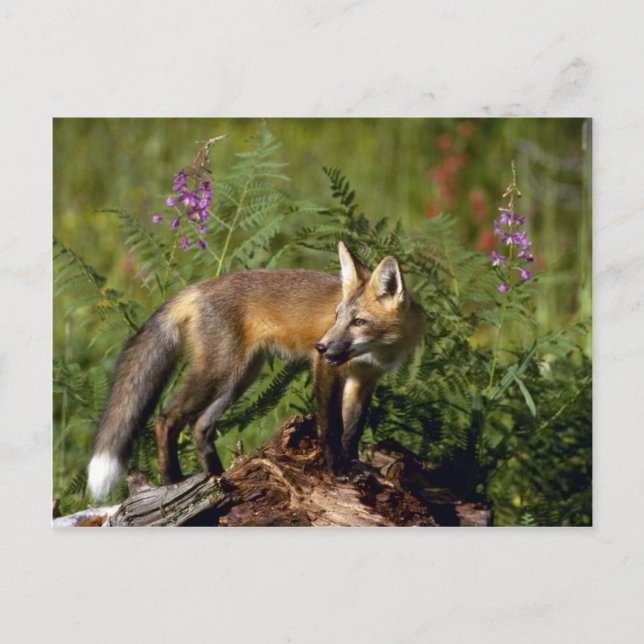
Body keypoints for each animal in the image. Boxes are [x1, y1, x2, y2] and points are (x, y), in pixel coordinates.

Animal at [87, 242, 425, 499]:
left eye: (358, 322)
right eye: (336, 316)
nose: (321, 346)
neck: (377, 351)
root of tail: (197, 288)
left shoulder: (364, 379)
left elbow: (352, 429)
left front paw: (356, 465)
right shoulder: (328, 369)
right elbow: (331, 426)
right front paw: (339, 470)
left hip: (239, 379)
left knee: (200, 426)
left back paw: (218, 478)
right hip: (218, 373)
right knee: (166, 418)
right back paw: (174, 481)